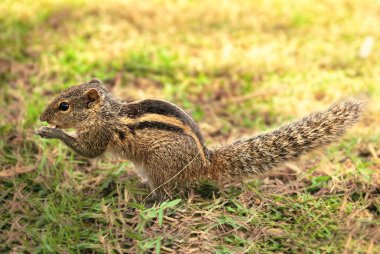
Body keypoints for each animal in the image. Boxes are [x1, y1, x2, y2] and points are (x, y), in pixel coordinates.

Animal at [36, 78, 366, 199]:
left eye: (64, 106)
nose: (41, 117)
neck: (106, 111)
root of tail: (205, 162)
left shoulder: (97, 135)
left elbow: (87, 151)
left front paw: (49, 132)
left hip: (160, 165)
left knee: (169, 194)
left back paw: (148, 200)